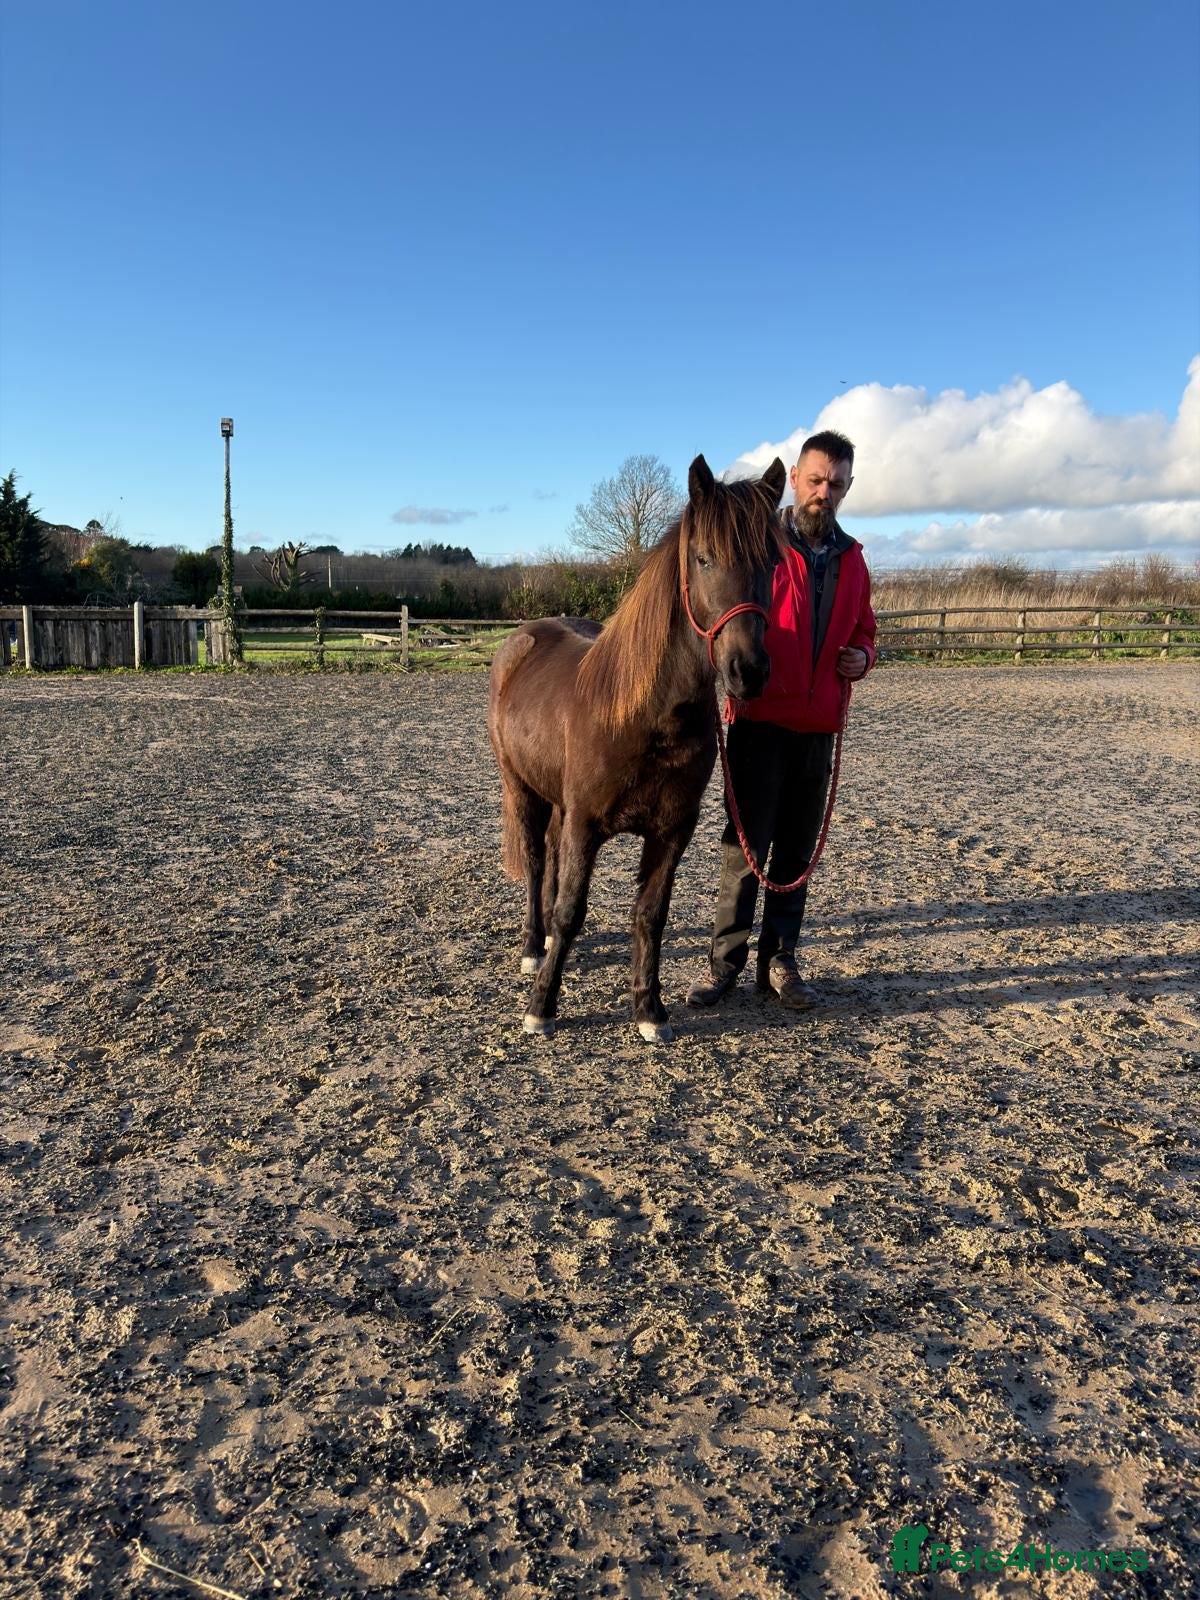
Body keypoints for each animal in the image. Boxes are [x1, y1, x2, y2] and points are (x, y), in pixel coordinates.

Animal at [487, 453, 786, 1043]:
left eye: (772, 562)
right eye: (703, 557)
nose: (749, 671)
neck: (647, 720)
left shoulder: (672, 830)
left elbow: (651, 913)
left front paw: (649, 1010)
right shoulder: (585, 823)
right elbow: (570, 910)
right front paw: (542, 1007)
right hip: (521, 788)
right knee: (535, 863)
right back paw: (534, 947)